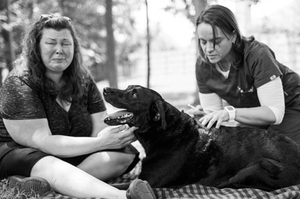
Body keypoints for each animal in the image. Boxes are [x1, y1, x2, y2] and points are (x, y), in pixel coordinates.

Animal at [102, 84, 300, 190]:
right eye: (128, 88)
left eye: (134, 93)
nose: (104, 88)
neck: (164, 132)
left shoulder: (148, 181)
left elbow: (111, 185)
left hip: (257, 167)